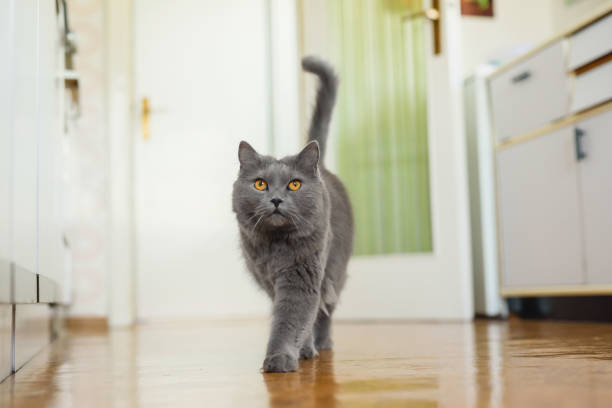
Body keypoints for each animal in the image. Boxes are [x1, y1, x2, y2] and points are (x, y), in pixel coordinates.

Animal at [231, 56, 354, 372]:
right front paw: (291, 355)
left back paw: (321, 345)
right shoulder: (269, 279)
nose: (276, 199)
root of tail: (323, 168)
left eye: (294, 184)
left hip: (334, 269)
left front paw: (279, 360)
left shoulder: (302, 275)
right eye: (260, 184)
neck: (276, 247)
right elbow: (293, 319)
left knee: (325, 310)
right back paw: (309, 349)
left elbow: (291, 319)